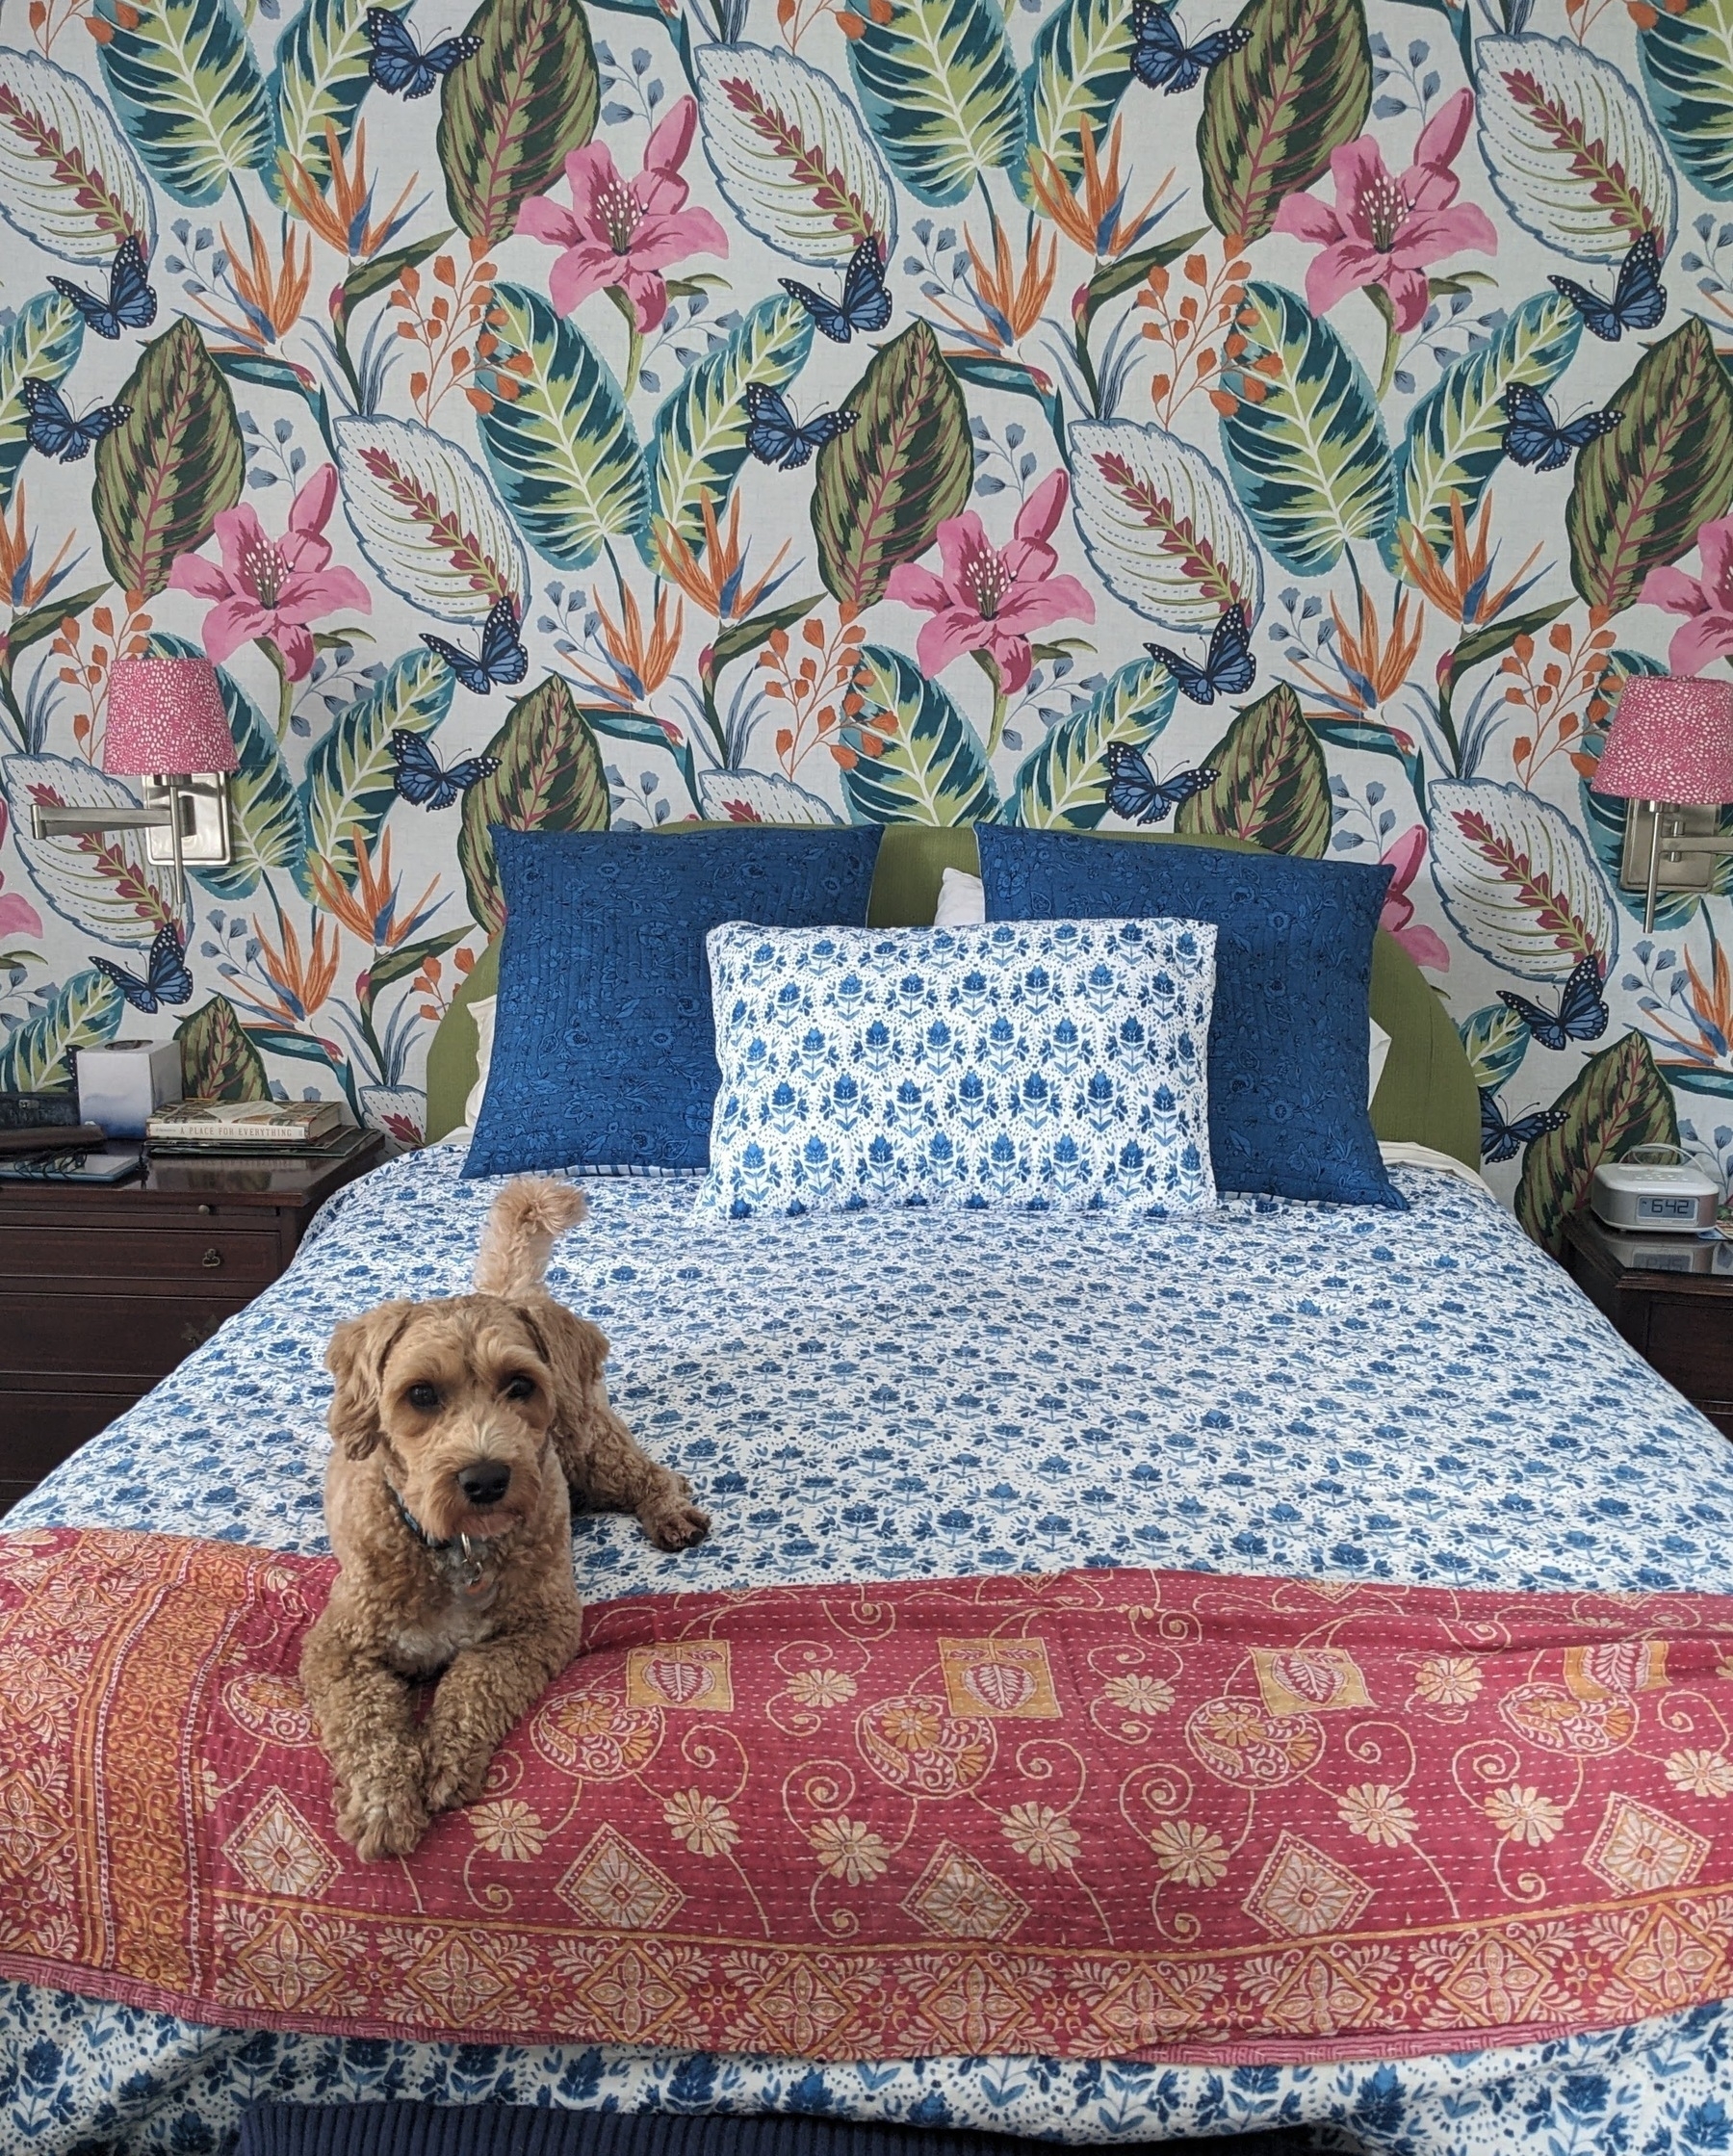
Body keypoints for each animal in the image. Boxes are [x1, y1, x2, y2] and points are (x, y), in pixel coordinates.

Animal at [301, 1173, 707, 1862]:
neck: (457, 1550)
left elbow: (473, 1682)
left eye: (519, 1385)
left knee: (654, 1474)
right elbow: (367, 1723)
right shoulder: (339, 1648)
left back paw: (671, 1512)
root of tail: (505, 1290)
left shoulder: (539, 1627)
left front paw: (444, 1760)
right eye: (420, 1394)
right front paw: (385, 1804)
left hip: (590, 1445)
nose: (486, 1479)